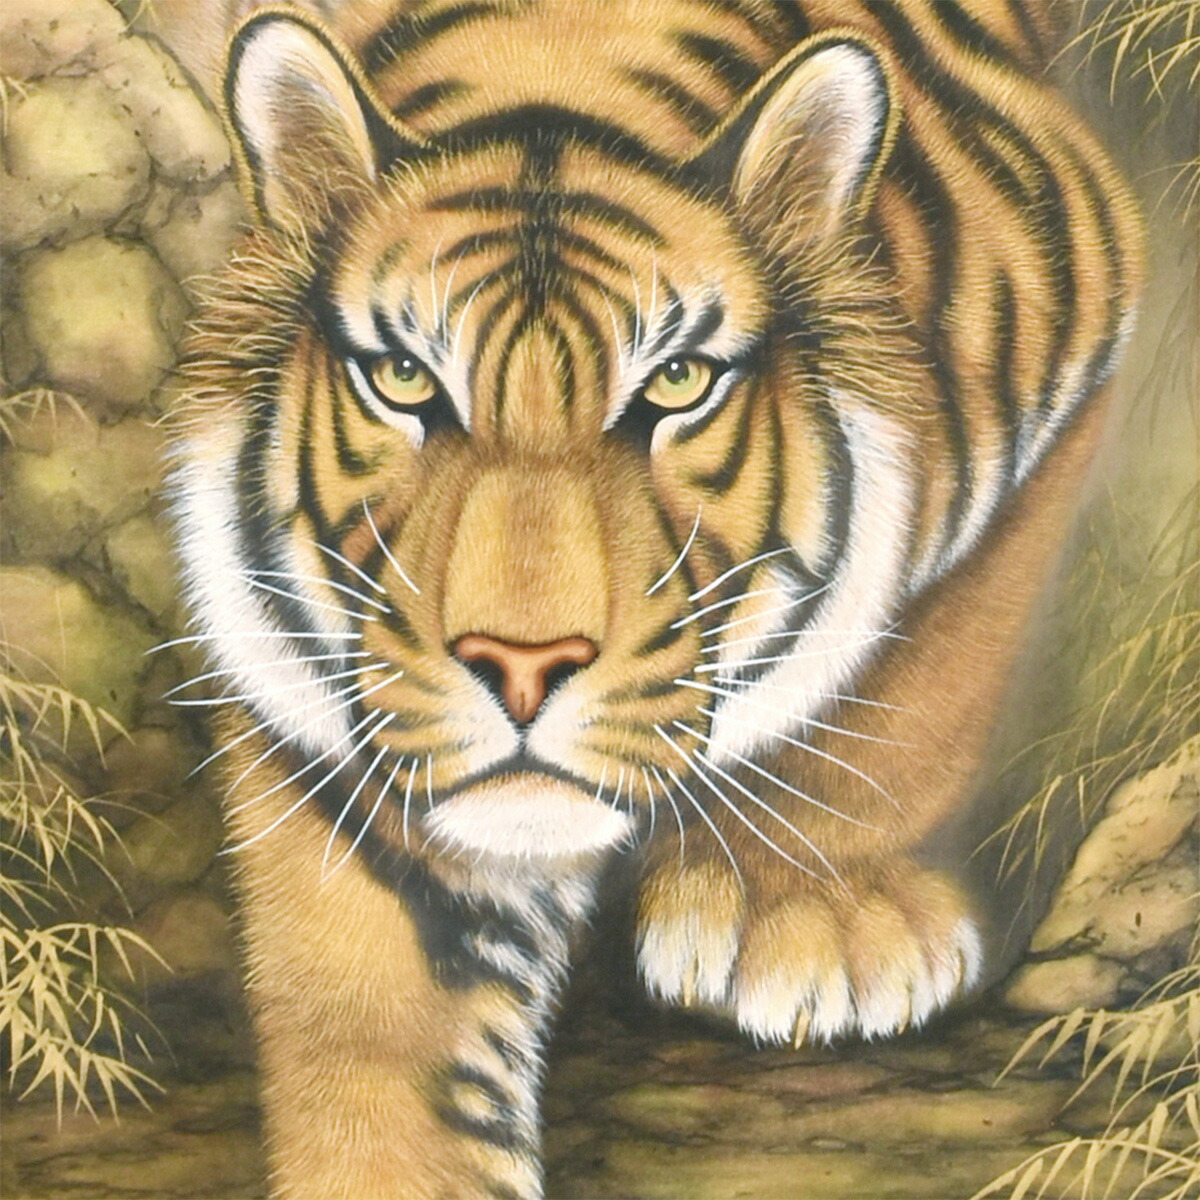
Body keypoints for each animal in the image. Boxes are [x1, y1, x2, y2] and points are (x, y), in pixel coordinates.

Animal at [168, 1, 1141, 1196]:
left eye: (676, 384)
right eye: (403, 379)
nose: (523, 667)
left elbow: (917, 685)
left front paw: (817, 916)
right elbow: (369, 1011)